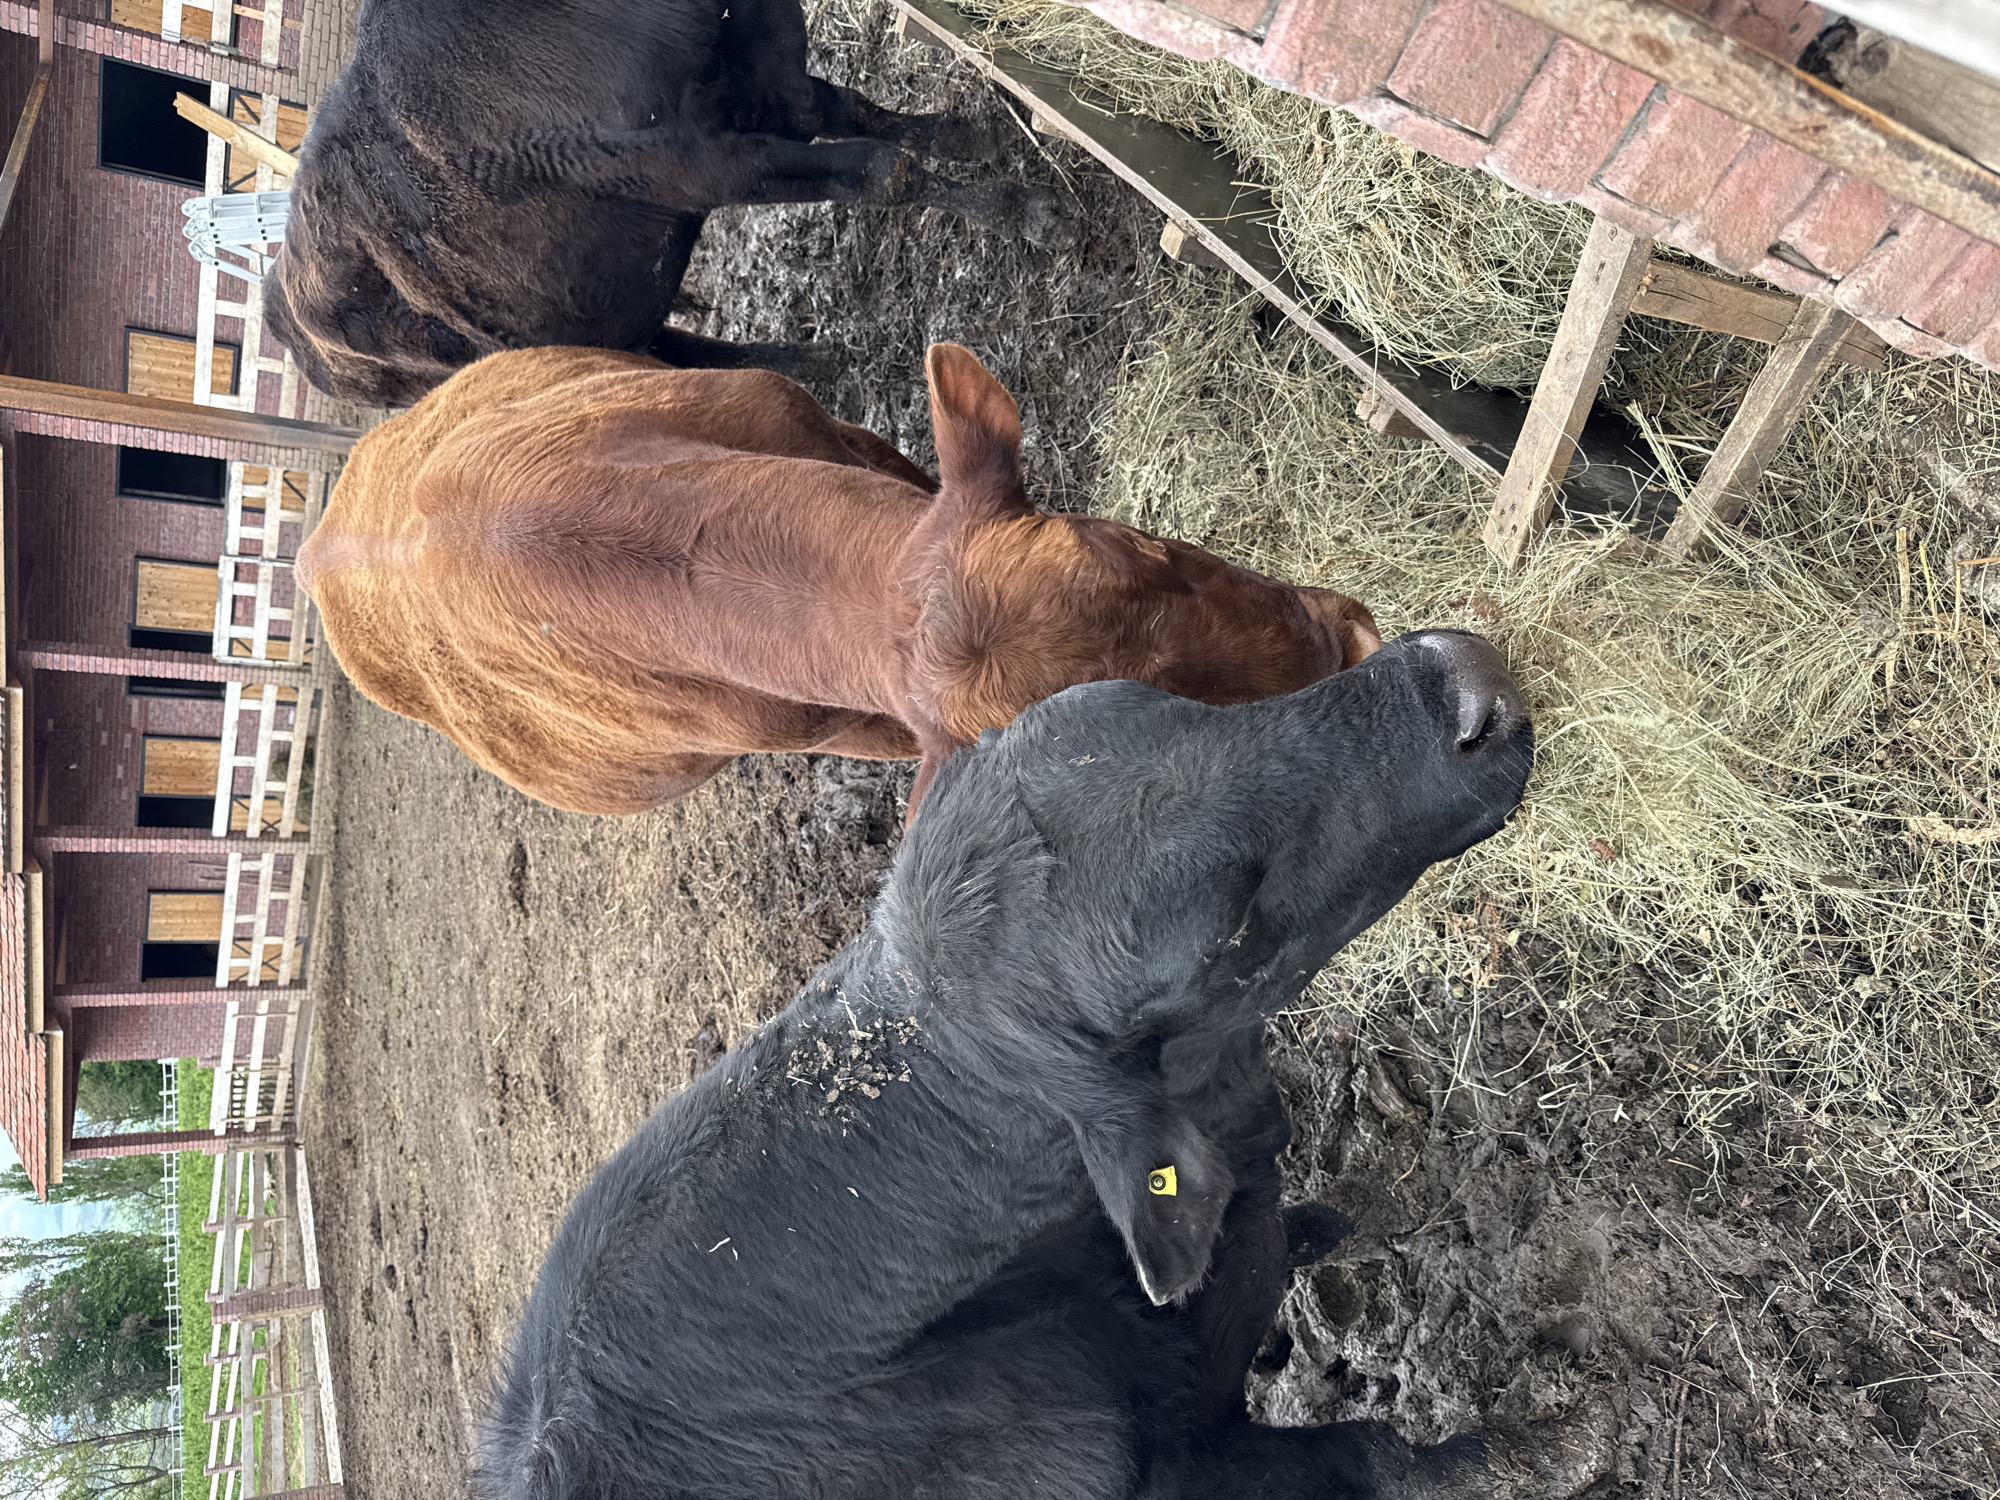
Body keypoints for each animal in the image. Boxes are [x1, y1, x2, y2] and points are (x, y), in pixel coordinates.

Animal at [263, 0, 1063, 407]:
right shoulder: (694, 166)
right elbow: (882, 170)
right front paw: (1021, 210)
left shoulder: (761, 84)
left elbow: (854, 110)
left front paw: (970, 136)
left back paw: (821, 359)